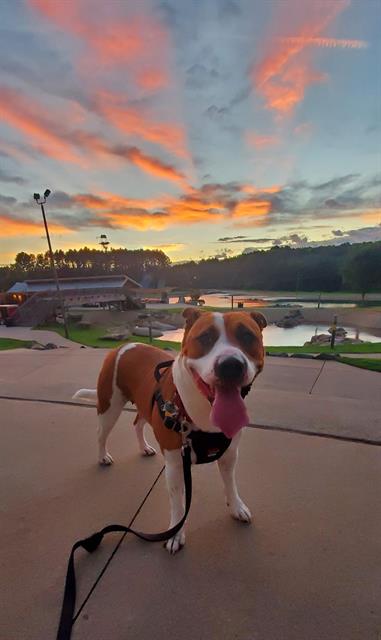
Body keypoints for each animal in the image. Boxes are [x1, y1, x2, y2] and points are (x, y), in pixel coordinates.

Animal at [73, 308, 264, 552]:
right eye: (205, 337)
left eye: (248, 336)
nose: (230, 365)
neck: (203, 411)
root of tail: (123, 346)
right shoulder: (175, 465)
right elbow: (178, 503)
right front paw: (175, 533)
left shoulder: (230, 456)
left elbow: (230, 484)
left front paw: (236, 507)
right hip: (109, 407)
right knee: (101, 434)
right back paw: (102, 457)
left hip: (144, 406)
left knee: (137, 424)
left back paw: (144, 447)